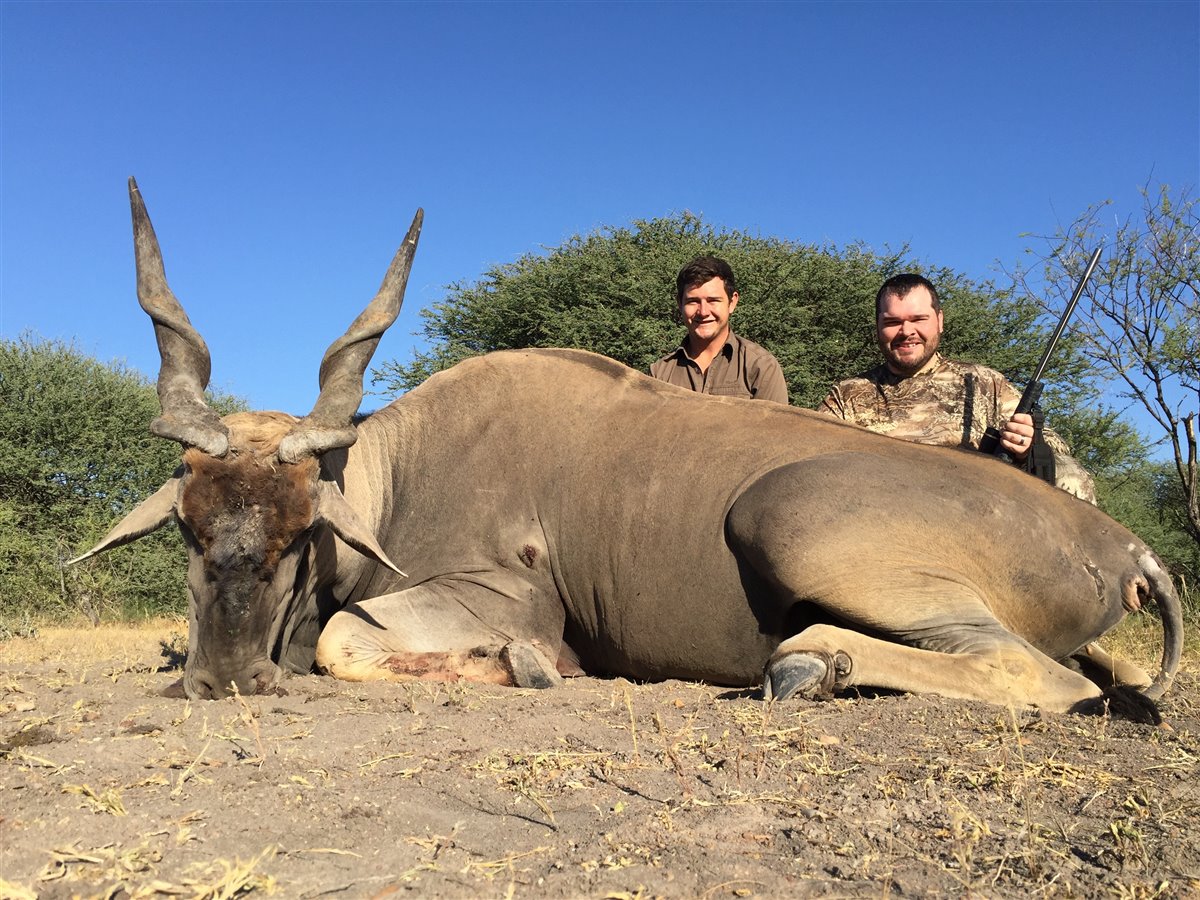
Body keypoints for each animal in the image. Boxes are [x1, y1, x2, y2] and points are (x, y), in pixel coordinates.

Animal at [75, 179, 1182, 723]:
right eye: (189, 527)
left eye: (299, 530)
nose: (224, 679)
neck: (396, 474)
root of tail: (1125, 550)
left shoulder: (501, 594)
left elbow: (351, 640)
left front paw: (523, 669)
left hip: (788, 522)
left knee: (1045, 679)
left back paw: (808, 666)